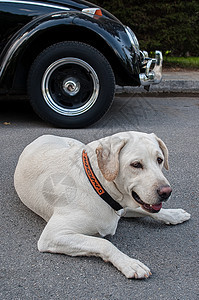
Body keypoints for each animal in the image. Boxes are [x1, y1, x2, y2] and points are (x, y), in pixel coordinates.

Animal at [13, 132, 190, 278]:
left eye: (160, 160)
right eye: (136, 164)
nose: (166, 192)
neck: (98, 183)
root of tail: (43, 135)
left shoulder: (123, 206)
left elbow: (149, 211)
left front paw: (174, 214)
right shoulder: (53, 236)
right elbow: (104, 243)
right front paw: (129, 263)